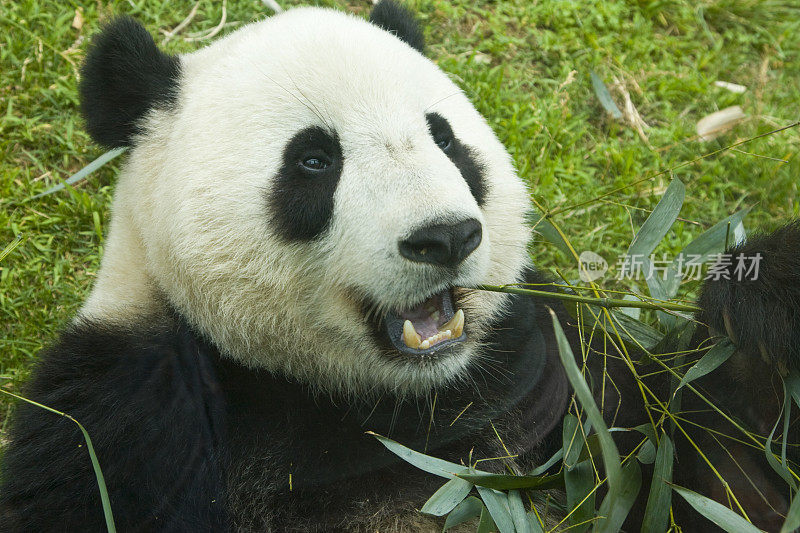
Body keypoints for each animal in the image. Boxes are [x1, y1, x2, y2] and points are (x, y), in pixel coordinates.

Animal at [0, 2, 796, 528]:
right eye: (314, 160)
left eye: (444, 138)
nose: (444, 237)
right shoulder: (130, 407)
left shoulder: (559, 371)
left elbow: (716, 481)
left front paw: (768, 304)